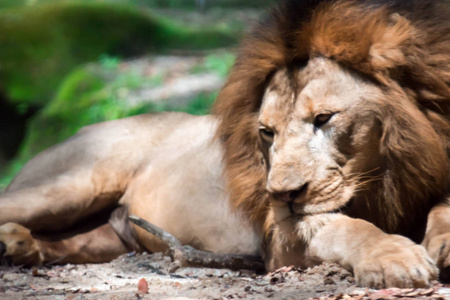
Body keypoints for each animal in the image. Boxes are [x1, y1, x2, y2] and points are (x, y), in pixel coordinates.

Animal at [0, 0, 450, 290]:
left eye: (324, 119)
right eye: (267, 132)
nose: (281, 194)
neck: (385, 173)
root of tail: (85, 128)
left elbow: (441, 206)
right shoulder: (280, 240)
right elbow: (342, 226)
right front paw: (394, 257)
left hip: (101, 238)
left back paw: (19, 246)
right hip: (71, 185)